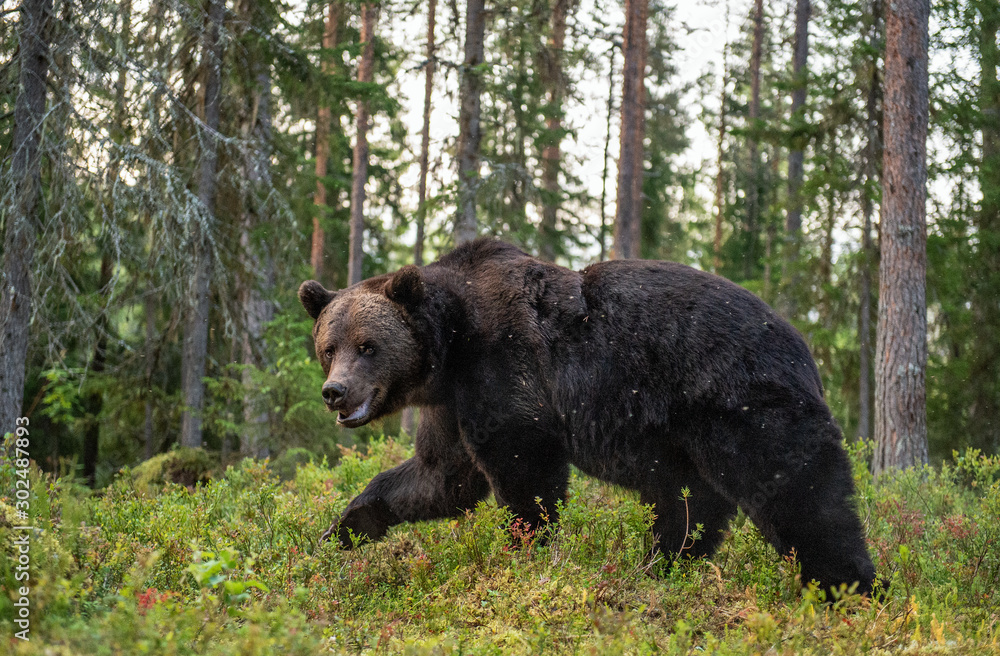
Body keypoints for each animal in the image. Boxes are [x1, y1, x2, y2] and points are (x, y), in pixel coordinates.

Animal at [300, 240, 880, 596]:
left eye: (368, 346)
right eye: (329, 347)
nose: (335, 392)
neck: (450, 345)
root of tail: (803, 345)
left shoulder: (503, 366)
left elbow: (524, 470)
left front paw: (522, 551)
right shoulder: (453, 402)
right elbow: (439, 478)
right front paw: (337, 533)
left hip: (743, 402)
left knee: (800, 494)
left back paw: (850, 588)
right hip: (681, 437)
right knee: (686, 504)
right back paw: (661, 566)